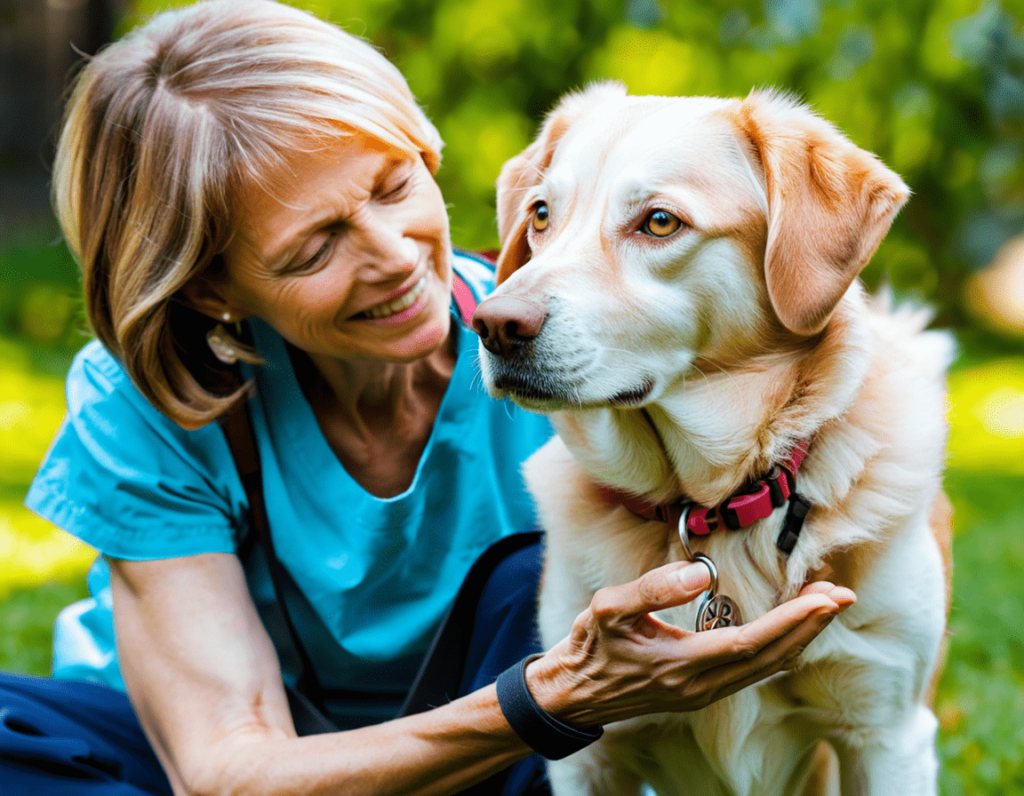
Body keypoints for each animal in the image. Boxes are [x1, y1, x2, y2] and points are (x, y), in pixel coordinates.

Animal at [471, 82, 950, 794]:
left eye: (659, 222)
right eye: (540, 214)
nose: (494, 324)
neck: (710, 505)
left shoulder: (887, 731)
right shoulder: (589, 757)